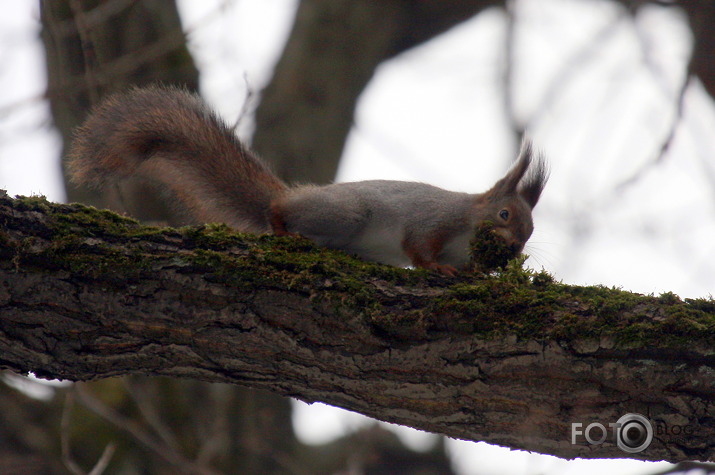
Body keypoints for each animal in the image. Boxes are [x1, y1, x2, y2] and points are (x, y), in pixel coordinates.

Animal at [68, 85, 548, 276]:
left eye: (531, 231)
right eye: (505, 214)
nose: (516, 248)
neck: (468, 225)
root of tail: (296, 196)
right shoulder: (435, 221)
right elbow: (419, 247)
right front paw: (437, 267)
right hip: (346, 215)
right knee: (276, 213)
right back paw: (285, 229)